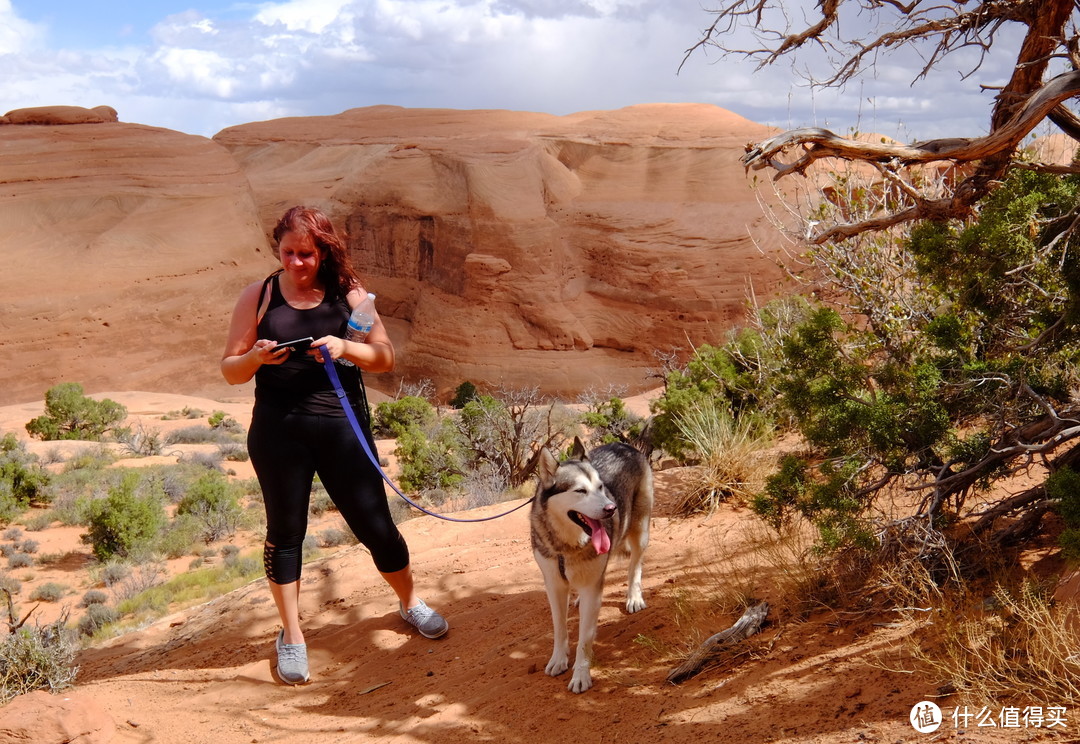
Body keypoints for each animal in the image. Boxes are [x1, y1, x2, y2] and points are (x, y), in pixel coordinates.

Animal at [529, 436, 652, 691]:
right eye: (580, 491)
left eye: (601, 487)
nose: (611, 509)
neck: (566, 547)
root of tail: (622, 445)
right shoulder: (554, 585)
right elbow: (559, 628)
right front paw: (558, 659)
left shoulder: (592, 589)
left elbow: (584, 639)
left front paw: (580, 676)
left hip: (640, 531)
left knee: (635, 566)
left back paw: (634, 597)